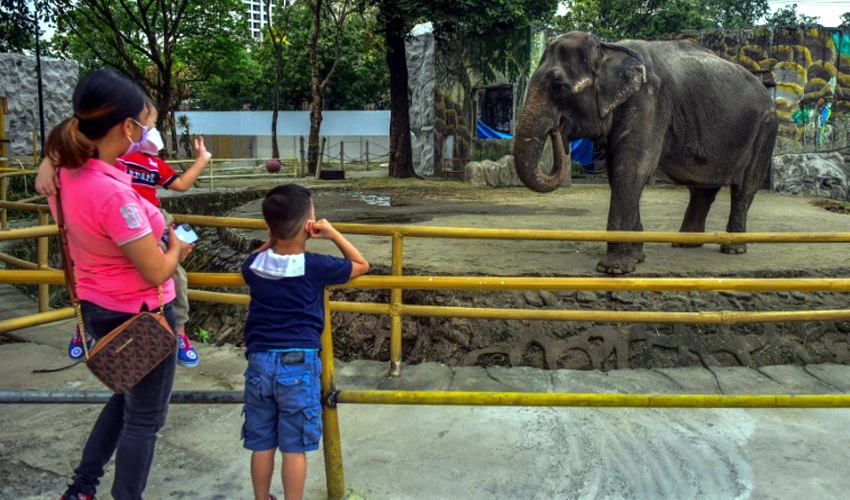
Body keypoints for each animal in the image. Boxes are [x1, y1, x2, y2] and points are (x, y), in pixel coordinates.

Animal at [510, 30, 776, 276]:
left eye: (558, 86)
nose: (557, 129)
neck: (607, 49)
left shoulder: (650, 101)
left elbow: (631, 167)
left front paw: (613, 269)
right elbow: (617, 169)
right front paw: (637, 258)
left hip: (765, 130)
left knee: (745, 187)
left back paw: (733, 249)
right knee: (703, 188)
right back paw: (685, 244)